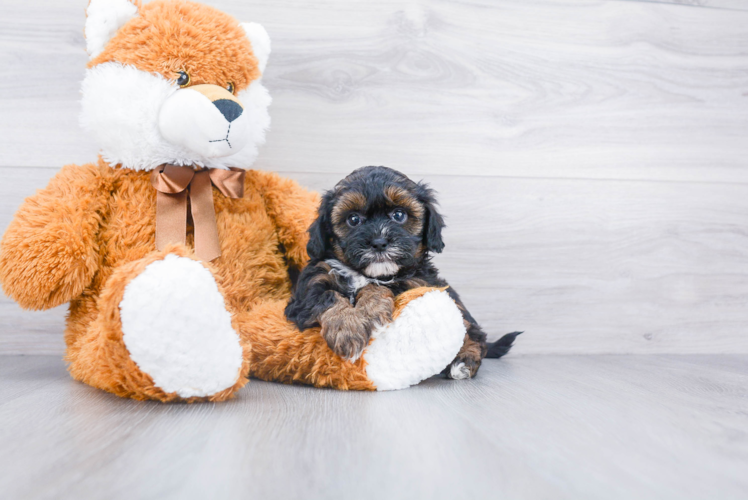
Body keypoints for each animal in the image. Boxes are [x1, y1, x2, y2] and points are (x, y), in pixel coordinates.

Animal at [286, 166, 520, 376]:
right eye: (353, 219)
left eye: (399, 215)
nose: (379, 242)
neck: (367, 273)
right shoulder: (306, 292)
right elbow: (328, 296)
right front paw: (347, 330)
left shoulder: (418, 281)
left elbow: (381, 286)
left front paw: (369, 311)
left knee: (475, 335)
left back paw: (462, 363)